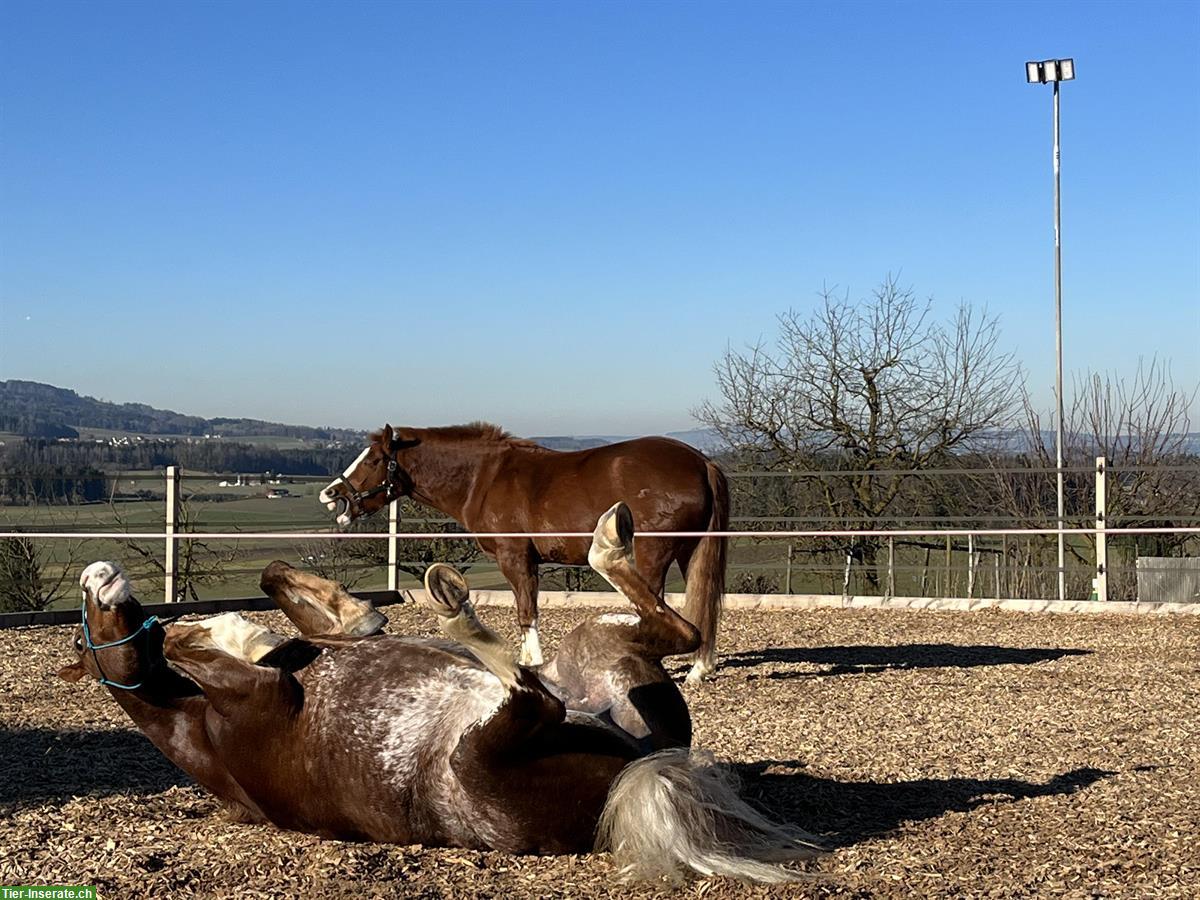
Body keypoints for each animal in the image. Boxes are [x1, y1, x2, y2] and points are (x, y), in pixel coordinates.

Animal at [60, 504, 820, 883]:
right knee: (535, 693)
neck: (200, 732)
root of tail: (634, 772)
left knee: (670, 627)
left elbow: (285, 586)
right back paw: (462, 613)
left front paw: (341, 614)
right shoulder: (255, 692)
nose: (97, 573)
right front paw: (225, 635)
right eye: (82, 635)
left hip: (600, 650)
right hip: (481, 753)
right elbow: (199, 651)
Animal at [319, 427, 724, 681]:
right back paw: (699, 669)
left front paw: (532, 662)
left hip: (652, 553)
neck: (484, 478)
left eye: (373, 460)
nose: (330, 493)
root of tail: (700, 461)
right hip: (689, 552)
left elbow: (526, 610)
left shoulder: (514, 558)